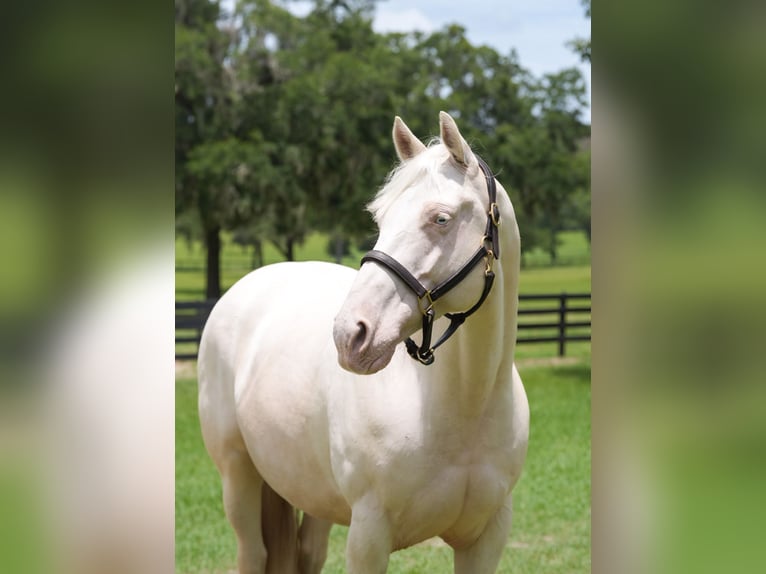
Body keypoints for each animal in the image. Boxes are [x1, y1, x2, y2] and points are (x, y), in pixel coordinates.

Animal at [197, 111, 529, 574]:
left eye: (441, 219)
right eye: (380, 219)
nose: (350, 334)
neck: (464, 408)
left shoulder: (486, 539)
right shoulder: (369, 536)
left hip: (312, 490)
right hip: (238, 475)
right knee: (253, 553)